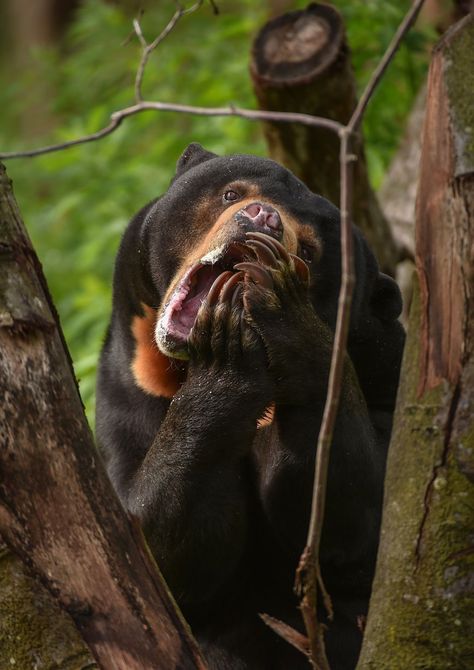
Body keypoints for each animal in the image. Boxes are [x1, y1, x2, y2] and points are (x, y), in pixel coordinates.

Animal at [95, 143, 404, 670]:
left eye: (309, 251)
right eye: (232, 193)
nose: (264, 218)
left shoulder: (386, 386)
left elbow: (355, 532)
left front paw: (282, 311)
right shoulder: (125, 397)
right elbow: (153, 549)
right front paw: (226, 354)